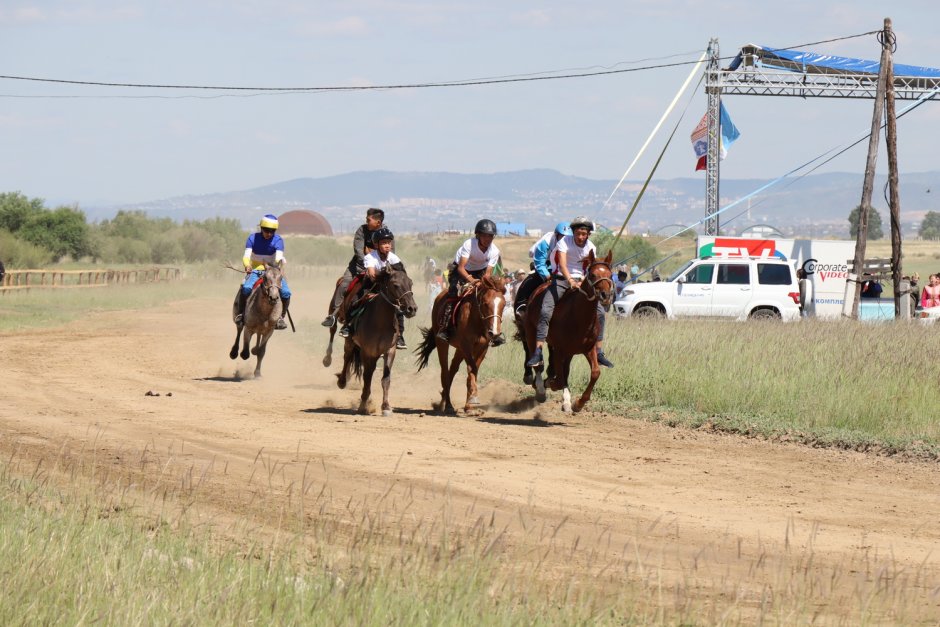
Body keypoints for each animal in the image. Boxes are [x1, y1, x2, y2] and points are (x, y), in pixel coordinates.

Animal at [334, 264, 414, 418]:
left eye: (411, 283)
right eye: (395, 285)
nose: (412, 308)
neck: (380, 322)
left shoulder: (389, 351)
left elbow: (385, 379)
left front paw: (386, 407)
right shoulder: (367, 352)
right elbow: (367, 377)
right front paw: (362, 406)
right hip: (351, 343)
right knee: (347, 358)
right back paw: (342, 381)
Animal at [416, 276, 506, 414]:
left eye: (504, 304)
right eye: (485, 303)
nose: (494, 333)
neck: (477, 320)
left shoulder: (482, 348)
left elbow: (473, 370)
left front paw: (469, 406)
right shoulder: (466, 346)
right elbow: (472, 368)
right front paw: (473, 398)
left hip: (459, 349)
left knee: (452, 370)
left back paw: (443, 401)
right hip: (443, 343)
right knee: (445, 372)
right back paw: (447, 405)